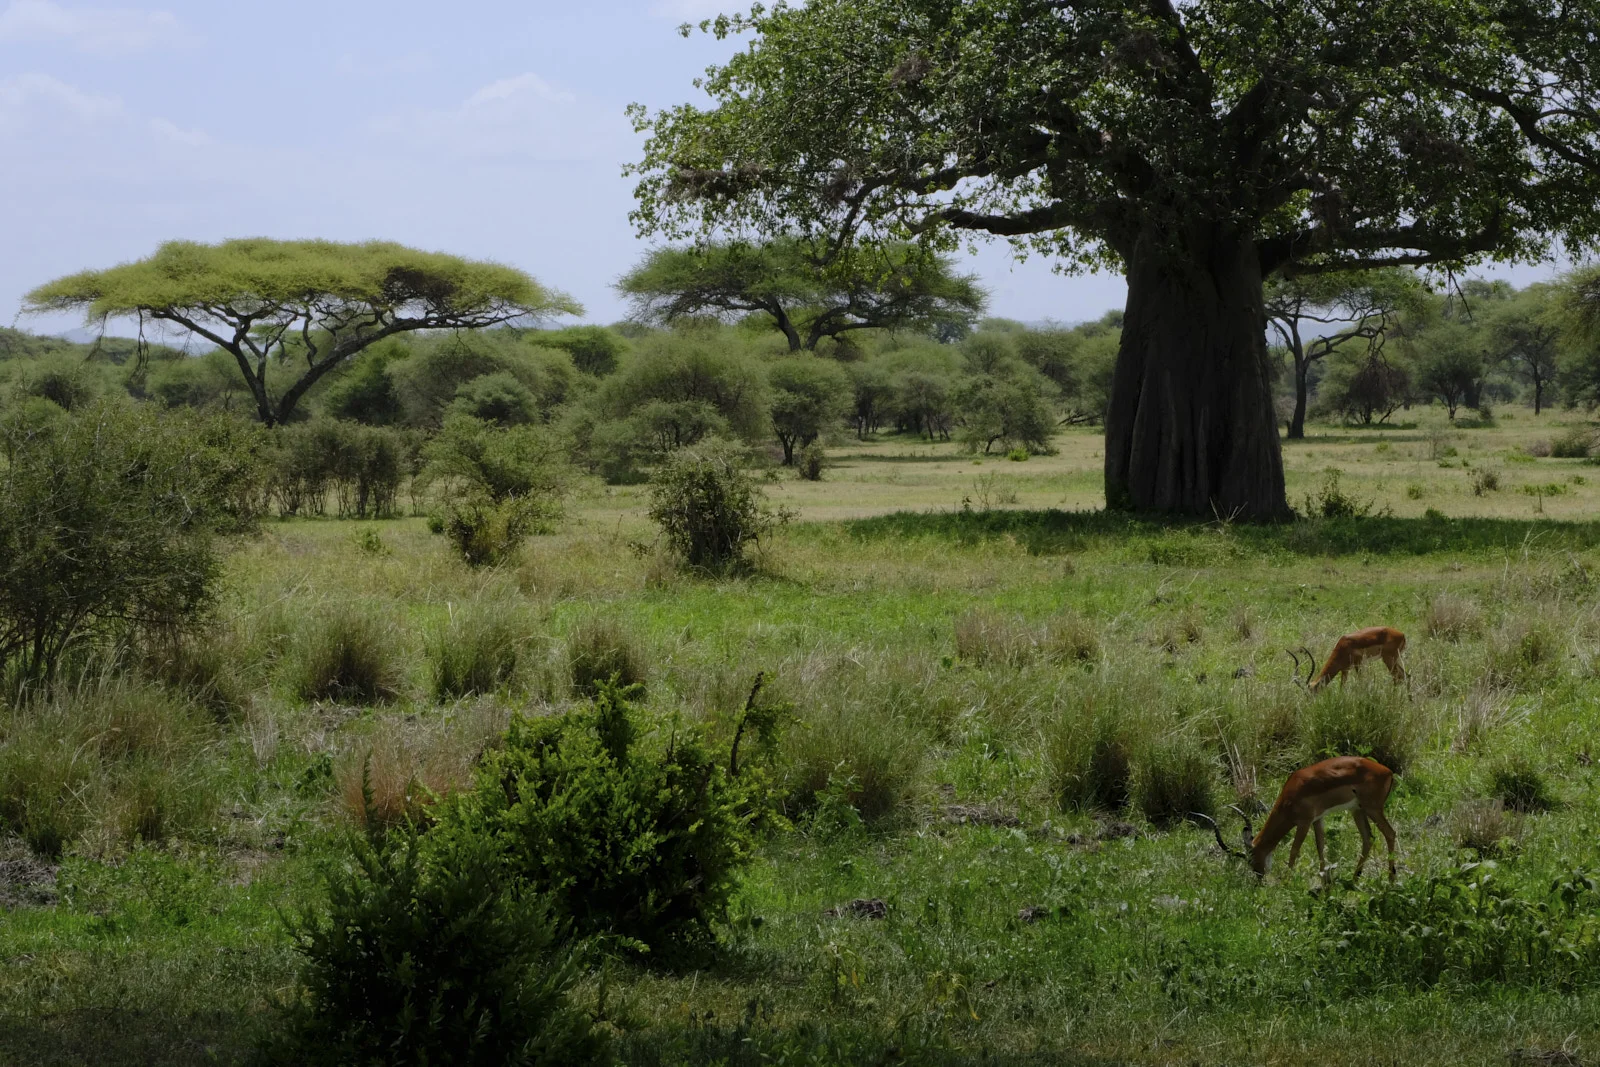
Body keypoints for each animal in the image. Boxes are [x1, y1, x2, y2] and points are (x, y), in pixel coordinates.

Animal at [1196, 756, 1397, 883]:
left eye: (1251, 859)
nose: (1259, 879)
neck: (1291, 795)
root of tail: (1388, 772)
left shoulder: (1303, 823)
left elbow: (1294, 850)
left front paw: (1286, 881)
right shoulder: (1317, 819)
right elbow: (1320, 846)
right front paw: (1324, 880)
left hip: (1372, 809)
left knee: (1390, 833)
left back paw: (1390, 878)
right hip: (1357, 810)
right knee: (1368, 838)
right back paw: (1355, 878)